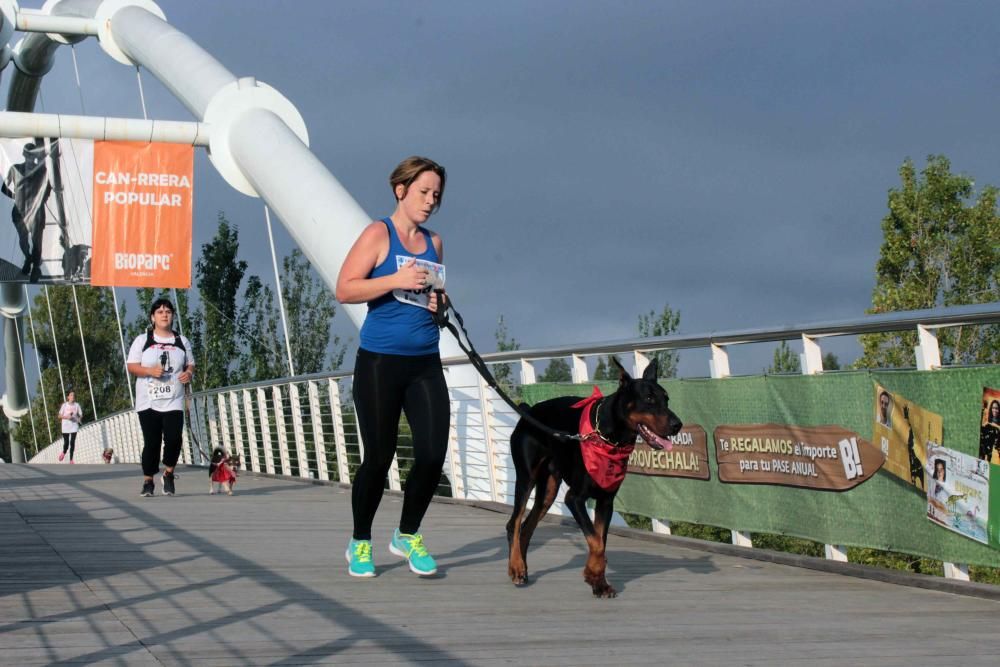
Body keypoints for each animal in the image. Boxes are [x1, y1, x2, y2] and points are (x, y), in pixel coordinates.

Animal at [504, 360, 684, 600]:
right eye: (648, 399)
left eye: (666, 398)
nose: (677, 425)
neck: (610, 438)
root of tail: (528, 411)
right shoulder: (575, 499)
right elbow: (596, 543)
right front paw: (593, 575)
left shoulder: (606, 501)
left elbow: (600, 541)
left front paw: (598, 582)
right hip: (526, 478)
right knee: (514, 523)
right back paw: (515, 568)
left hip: (549, 488)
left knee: (527, 527)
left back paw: (523, 568)